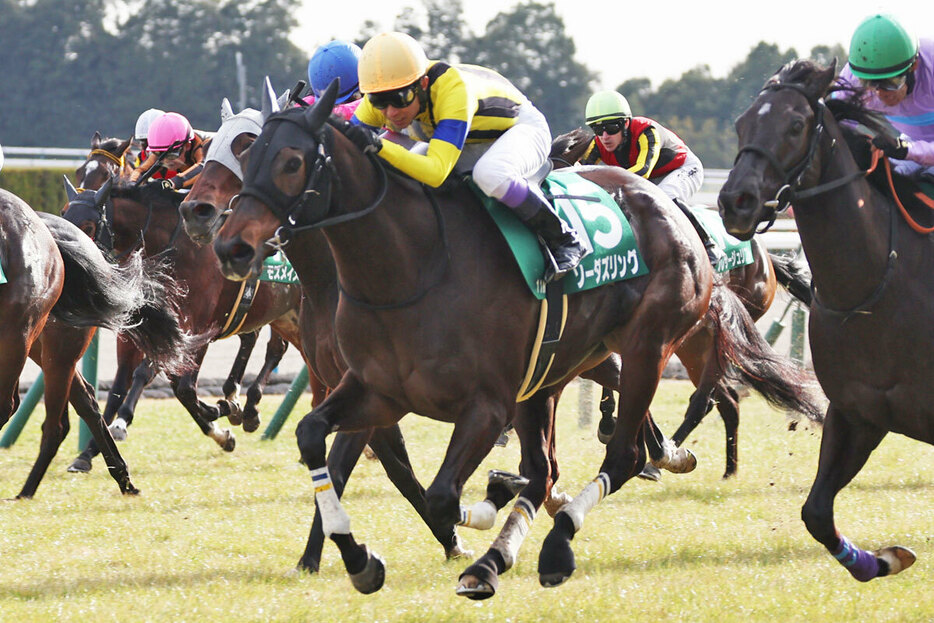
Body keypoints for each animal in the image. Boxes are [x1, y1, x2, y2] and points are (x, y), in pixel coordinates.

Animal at [62, 178, 304, 466]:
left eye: (89, 226)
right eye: (63, 216)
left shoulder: (196, 328)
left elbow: (180, 387)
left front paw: (220, 410)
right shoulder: (144, 330)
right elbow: (124, 387)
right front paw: (88, 453)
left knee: (281, 349)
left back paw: (250, 406)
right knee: (258, 341)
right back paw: (241, 401)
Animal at [212, 81, 820, 596]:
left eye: (292, 161)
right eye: (251, 155)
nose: (228, 245)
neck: (411, 266)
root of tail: (677, 214)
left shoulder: (486, 404)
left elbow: (440, 495)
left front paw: (482, 507)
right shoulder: (377, 390)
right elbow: (317, 439)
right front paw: (359, 560)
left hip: (649, 345)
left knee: (625, 451)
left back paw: (561, 538)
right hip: (549, 376)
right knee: (549, 467)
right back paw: (495, 558)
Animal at [716, 61, 928, 584]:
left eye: (795, 125)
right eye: (742, 124)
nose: (735, 201)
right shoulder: (856, 412)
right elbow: (815, 512)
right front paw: (883, 559)